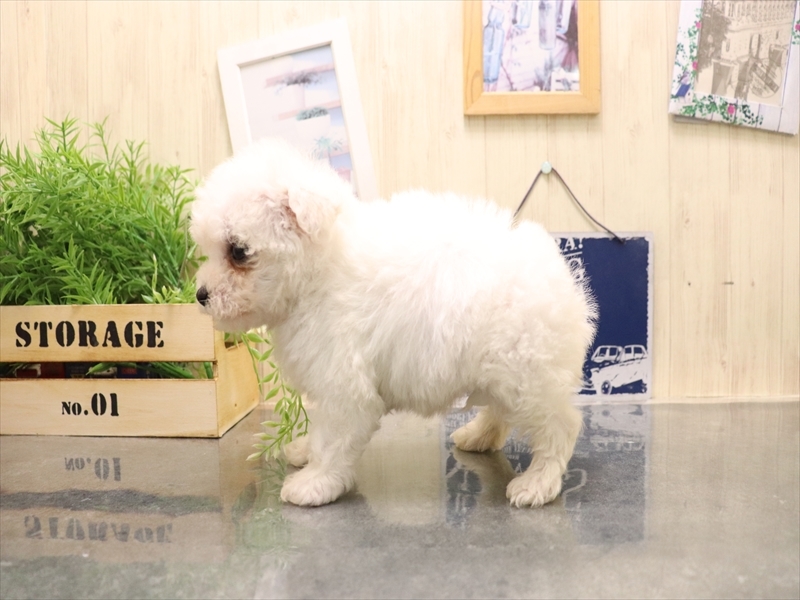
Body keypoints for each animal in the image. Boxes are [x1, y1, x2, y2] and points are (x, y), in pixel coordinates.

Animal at [190, 138, 596, 508]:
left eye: (238, 252)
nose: (200, 295)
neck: (320, 269)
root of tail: (566, 280)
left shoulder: (344, 385)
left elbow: (332, 439)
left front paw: (315, 482)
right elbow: (321, 430)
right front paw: (305, 452)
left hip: (527, 374)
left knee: (559, 427)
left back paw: (538, 483)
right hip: (504, 371)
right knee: (502, 411)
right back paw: (479, 436)